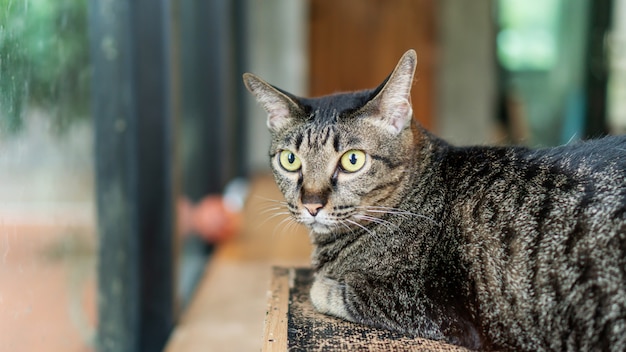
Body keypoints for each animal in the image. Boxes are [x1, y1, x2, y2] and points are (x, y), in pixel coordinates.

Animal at [243, 50, 624, 352]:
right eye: (289, 160)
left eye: (352, 160)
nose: (311, 203)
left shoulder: (427, 306)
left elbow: (325, 290)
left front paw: (323, 283)